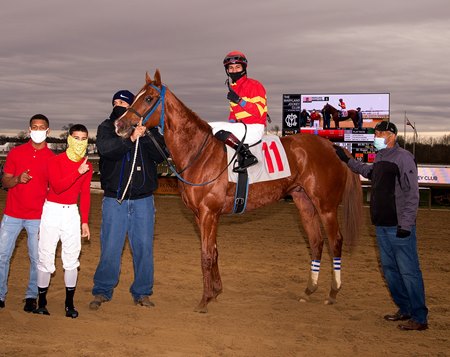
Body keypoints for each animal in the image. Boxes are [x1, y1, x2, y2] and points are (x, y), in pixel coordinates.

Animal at [115, 70, 362, 312]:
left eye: (149, 98)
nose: (120, 124)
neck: (199, 153)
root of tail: (332, 146)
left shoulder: (208, 213)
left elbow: (206, 254)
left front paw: (204, 300)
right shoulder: (200, 215)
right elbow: (214, 251)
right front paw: (215, 292)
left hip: (326, 206)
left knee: (335, 241)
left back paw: (333, 292)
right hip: (304, 202)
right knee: (316, 242)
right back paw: (309, 290)